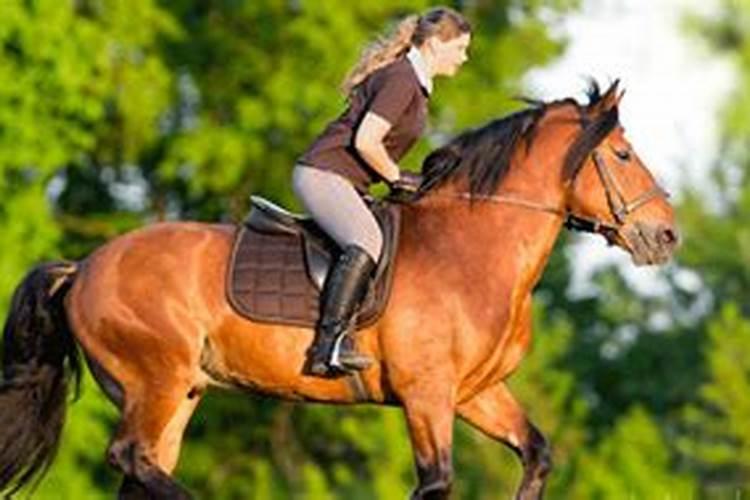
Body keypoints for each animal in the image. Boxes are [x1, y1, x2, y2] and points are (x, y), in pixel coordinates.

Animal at [0, 80, 680, 498]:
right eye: (623, 155)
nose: (667, 234)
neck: (472, 247)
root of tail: (85, 266)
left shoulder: (475, 392)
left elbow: (536, 454)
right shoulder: (426, 395)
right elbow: (436, 482)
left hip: (178, 390)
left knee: (140, 468)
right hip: (155, 380)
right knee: (131, 459)